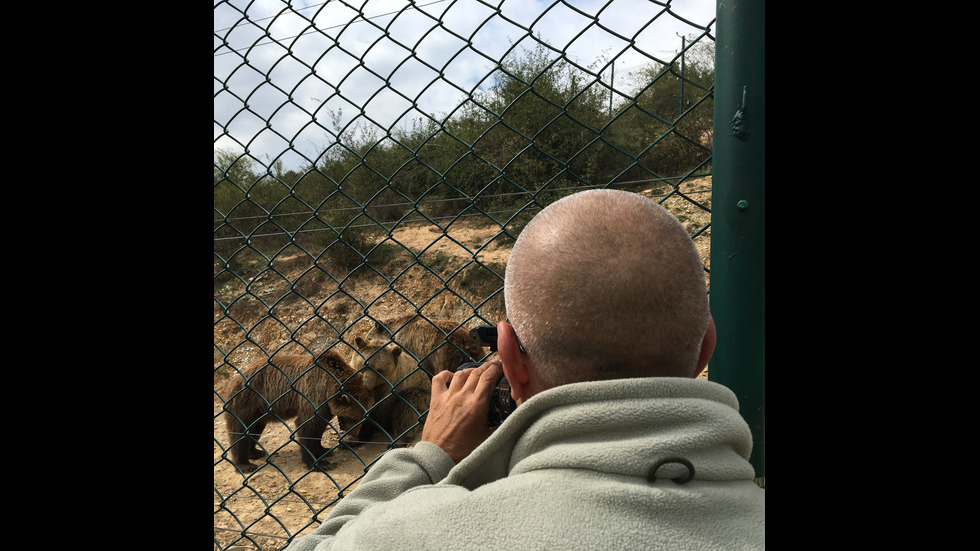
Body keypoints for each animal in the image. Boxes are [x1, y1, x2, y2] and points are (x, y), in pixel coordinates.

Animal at [225, 344, 398, 474]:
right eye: (354, 418)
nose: (355, 435)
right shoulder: (313, 394)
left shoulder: (325, 406)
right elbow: (308, 427)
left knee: (254, 430)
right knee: (240, 431)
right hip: (246, 401)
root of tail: (235, 379)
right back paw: (244, 464)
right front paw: (319, 463)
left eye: (363, 417)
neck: (330, 385)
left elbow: (319, 428)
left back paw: (255, 452)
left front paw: (323, 449)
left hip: (260, 410)